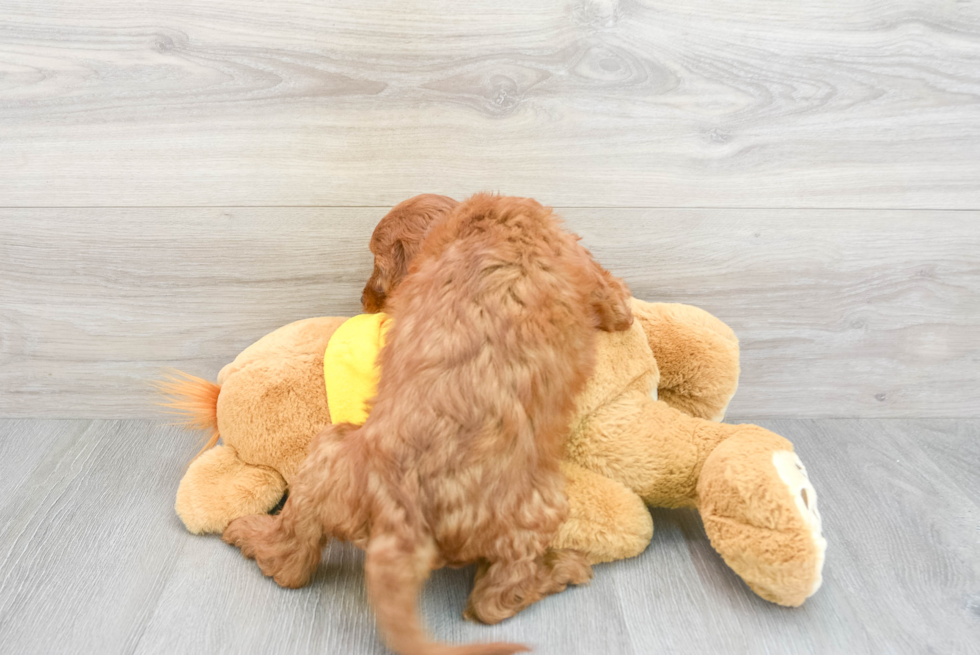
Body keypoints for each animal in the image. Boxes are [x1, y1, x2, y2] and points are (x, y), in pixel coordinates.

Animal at [223, 195, 636, 655]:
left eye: (376, 264)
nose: (364, 301)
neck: (476, 225)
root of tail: (400, 513)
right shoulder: (592, 273)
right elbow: (619, 305)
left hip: (326, 453)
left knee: (293, 560)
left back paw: (248, 533)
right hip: (538, 506)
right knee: (495, 600)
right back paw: (563, 569)